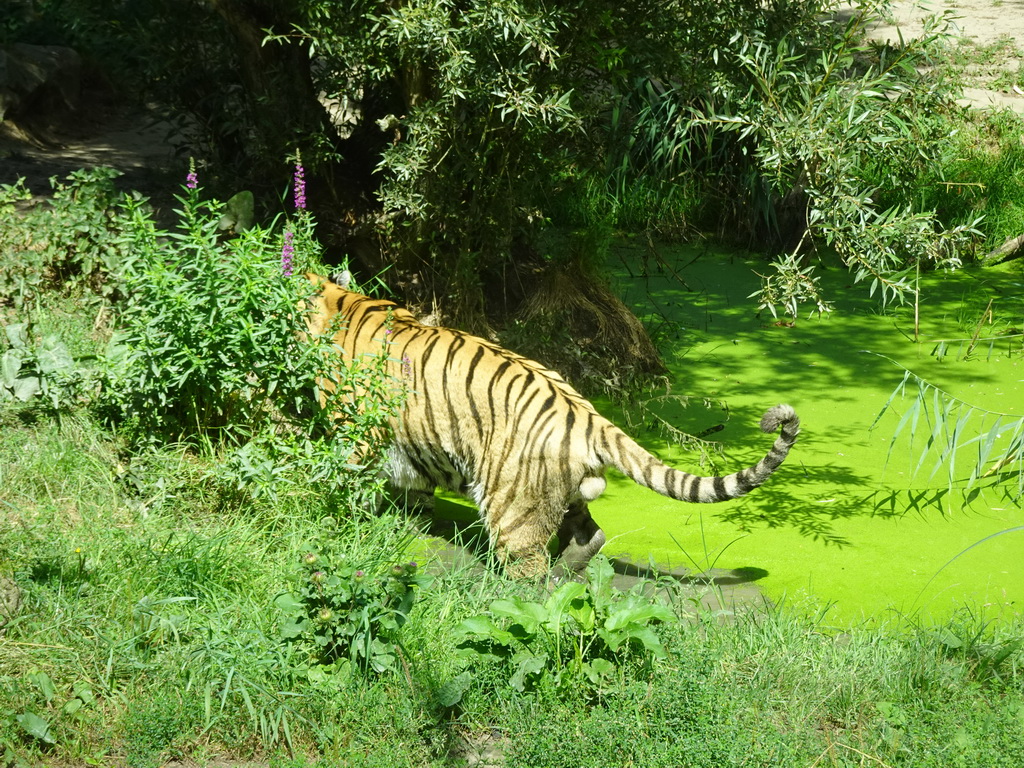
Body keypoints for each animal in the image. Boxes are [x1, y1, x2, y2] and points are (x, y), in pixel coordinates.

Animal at [303, 274, 798, 581]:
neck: (338, 303)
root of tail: (590, 416)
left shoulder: (354, 432)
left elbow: (340, 480)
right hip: (557, 490)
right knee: (590, 535)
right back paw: (565, 573)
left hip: (512, 502)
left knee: (527, 568)